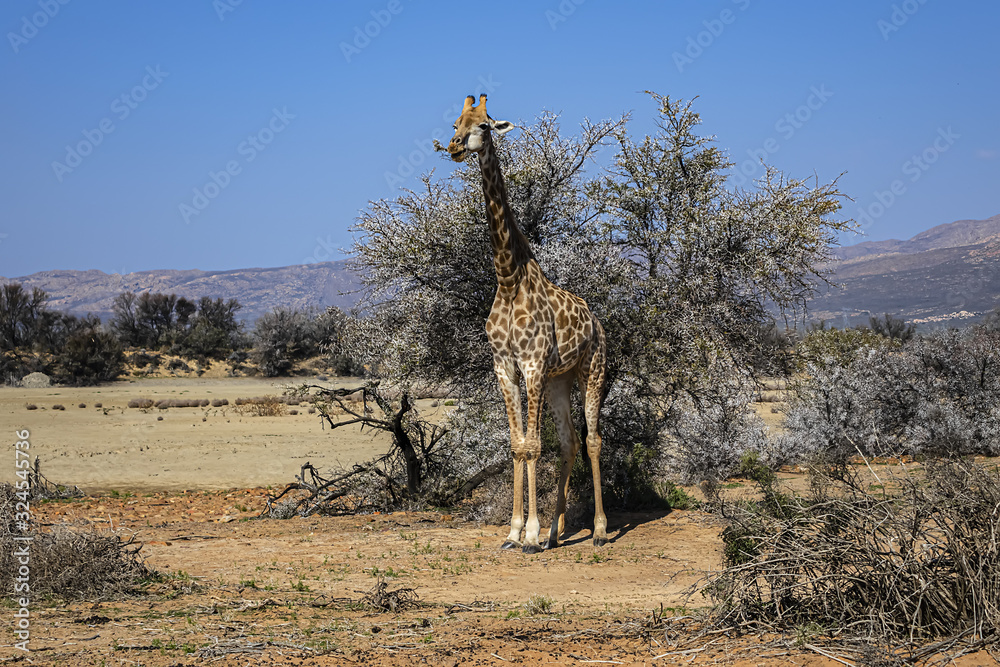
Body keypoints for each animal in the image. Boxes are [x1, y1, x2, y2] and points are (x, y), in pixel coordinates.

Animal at [443, 94, 608, 553]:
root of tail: (599, 323)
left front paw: (530, 535)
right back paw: (556, 532)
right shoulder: (504, 366)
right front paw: (514, 531)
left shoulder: (532, 363)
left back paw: (599, 530)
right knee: (569, 441)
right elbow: (517, 446)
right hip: (559, 380)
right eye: (455, 123)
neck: (507, 277)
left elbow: (533, 447)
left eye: (484, 125)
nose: (454, 147)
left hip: (592, 369)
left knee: (592, 440)